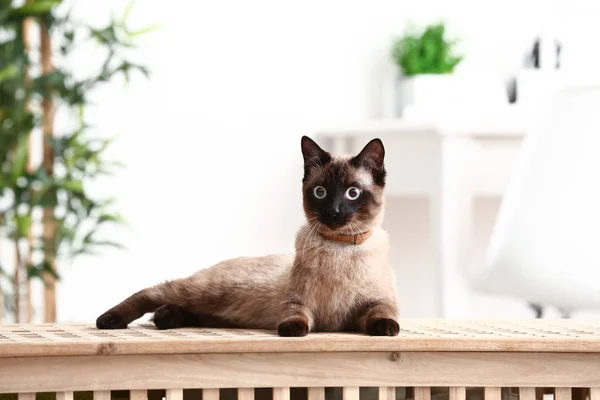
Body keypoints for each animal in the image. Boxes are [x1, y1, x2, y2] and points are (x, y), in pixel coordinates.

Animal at [96, 136, 400, 336]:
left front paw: (386, 329)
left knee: (177, 307)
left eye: (352, 193)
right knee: (152, 291)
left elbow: (384, 314)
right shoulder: (297, 301)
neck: (341, 249)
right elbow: (296, 318)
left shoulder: (374, 304)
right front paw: (291, 330)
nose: (334, 213)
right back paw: (108, 320)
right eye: (320, 192)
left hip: (215, 309)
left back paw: (164, 318)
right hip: (207, 292)